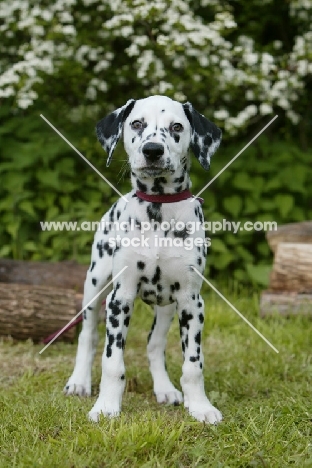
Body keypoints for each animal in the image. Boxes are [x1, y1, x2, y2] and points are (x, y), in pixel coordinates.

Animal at [64, 95, 223, 424]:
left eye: (177, 127)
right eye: (137, 123)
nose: (152, 150)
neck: (159, 209)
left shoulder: (192, 301)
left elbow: (193, 364)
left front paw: (200, 407)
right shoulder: (119, 298)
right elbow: (112, 361)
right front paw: (106, 406)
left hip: (167, 307)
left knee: (154, 343)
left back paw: (165, 389)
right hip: (94, 284)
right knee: (88, 336)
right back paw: (79, 382)